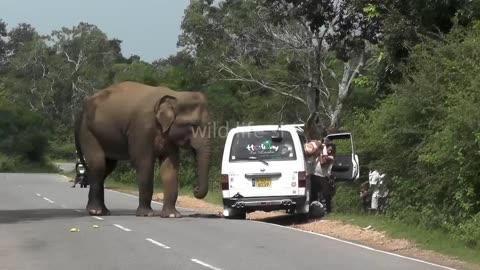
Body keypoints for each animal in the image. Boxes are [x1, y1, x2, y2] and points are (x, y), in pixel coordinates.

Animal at [72, 80, 210, 217]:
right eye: (192, 125)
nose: (195, 188)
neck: (175, 94)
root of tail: (81, 111)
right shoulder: (142, 128)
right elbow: (144, 163)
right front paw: (146, 214)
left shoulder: (169, 137)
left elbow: (169, 167)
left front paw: (172, 215)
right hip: (88, 132)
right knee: (98, 165)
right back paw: (96, 211)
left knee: (107, 168)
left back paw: (102, 211)